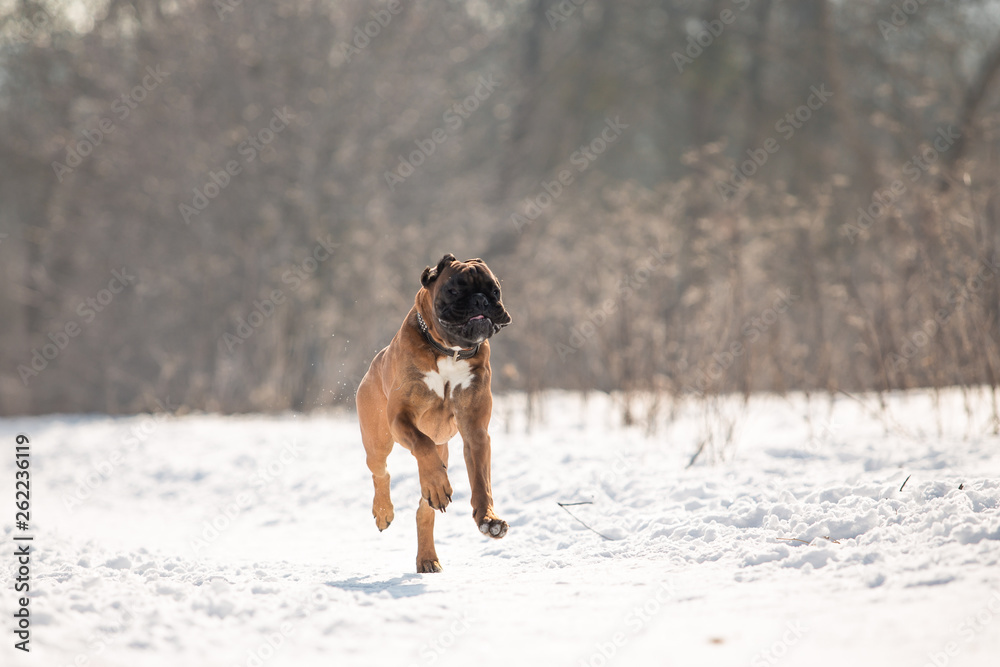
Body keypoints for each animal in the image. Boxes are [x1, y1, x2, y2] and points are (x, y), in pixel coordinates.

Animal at [356, 253, 512, 572]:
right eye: (454, 290)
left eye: (494, 289)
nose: (480, 299)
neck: (449, 351)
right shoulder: (400, 418)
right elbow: (422, 444)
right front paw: (438, 485)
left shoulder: (475, 432)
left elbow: (481, 480)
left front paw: (488, 519)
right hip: (378, 440)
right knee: (381, 472)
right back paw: (384, 511)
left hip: (443, 450)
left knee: (423, 509)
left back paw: (427, 557)